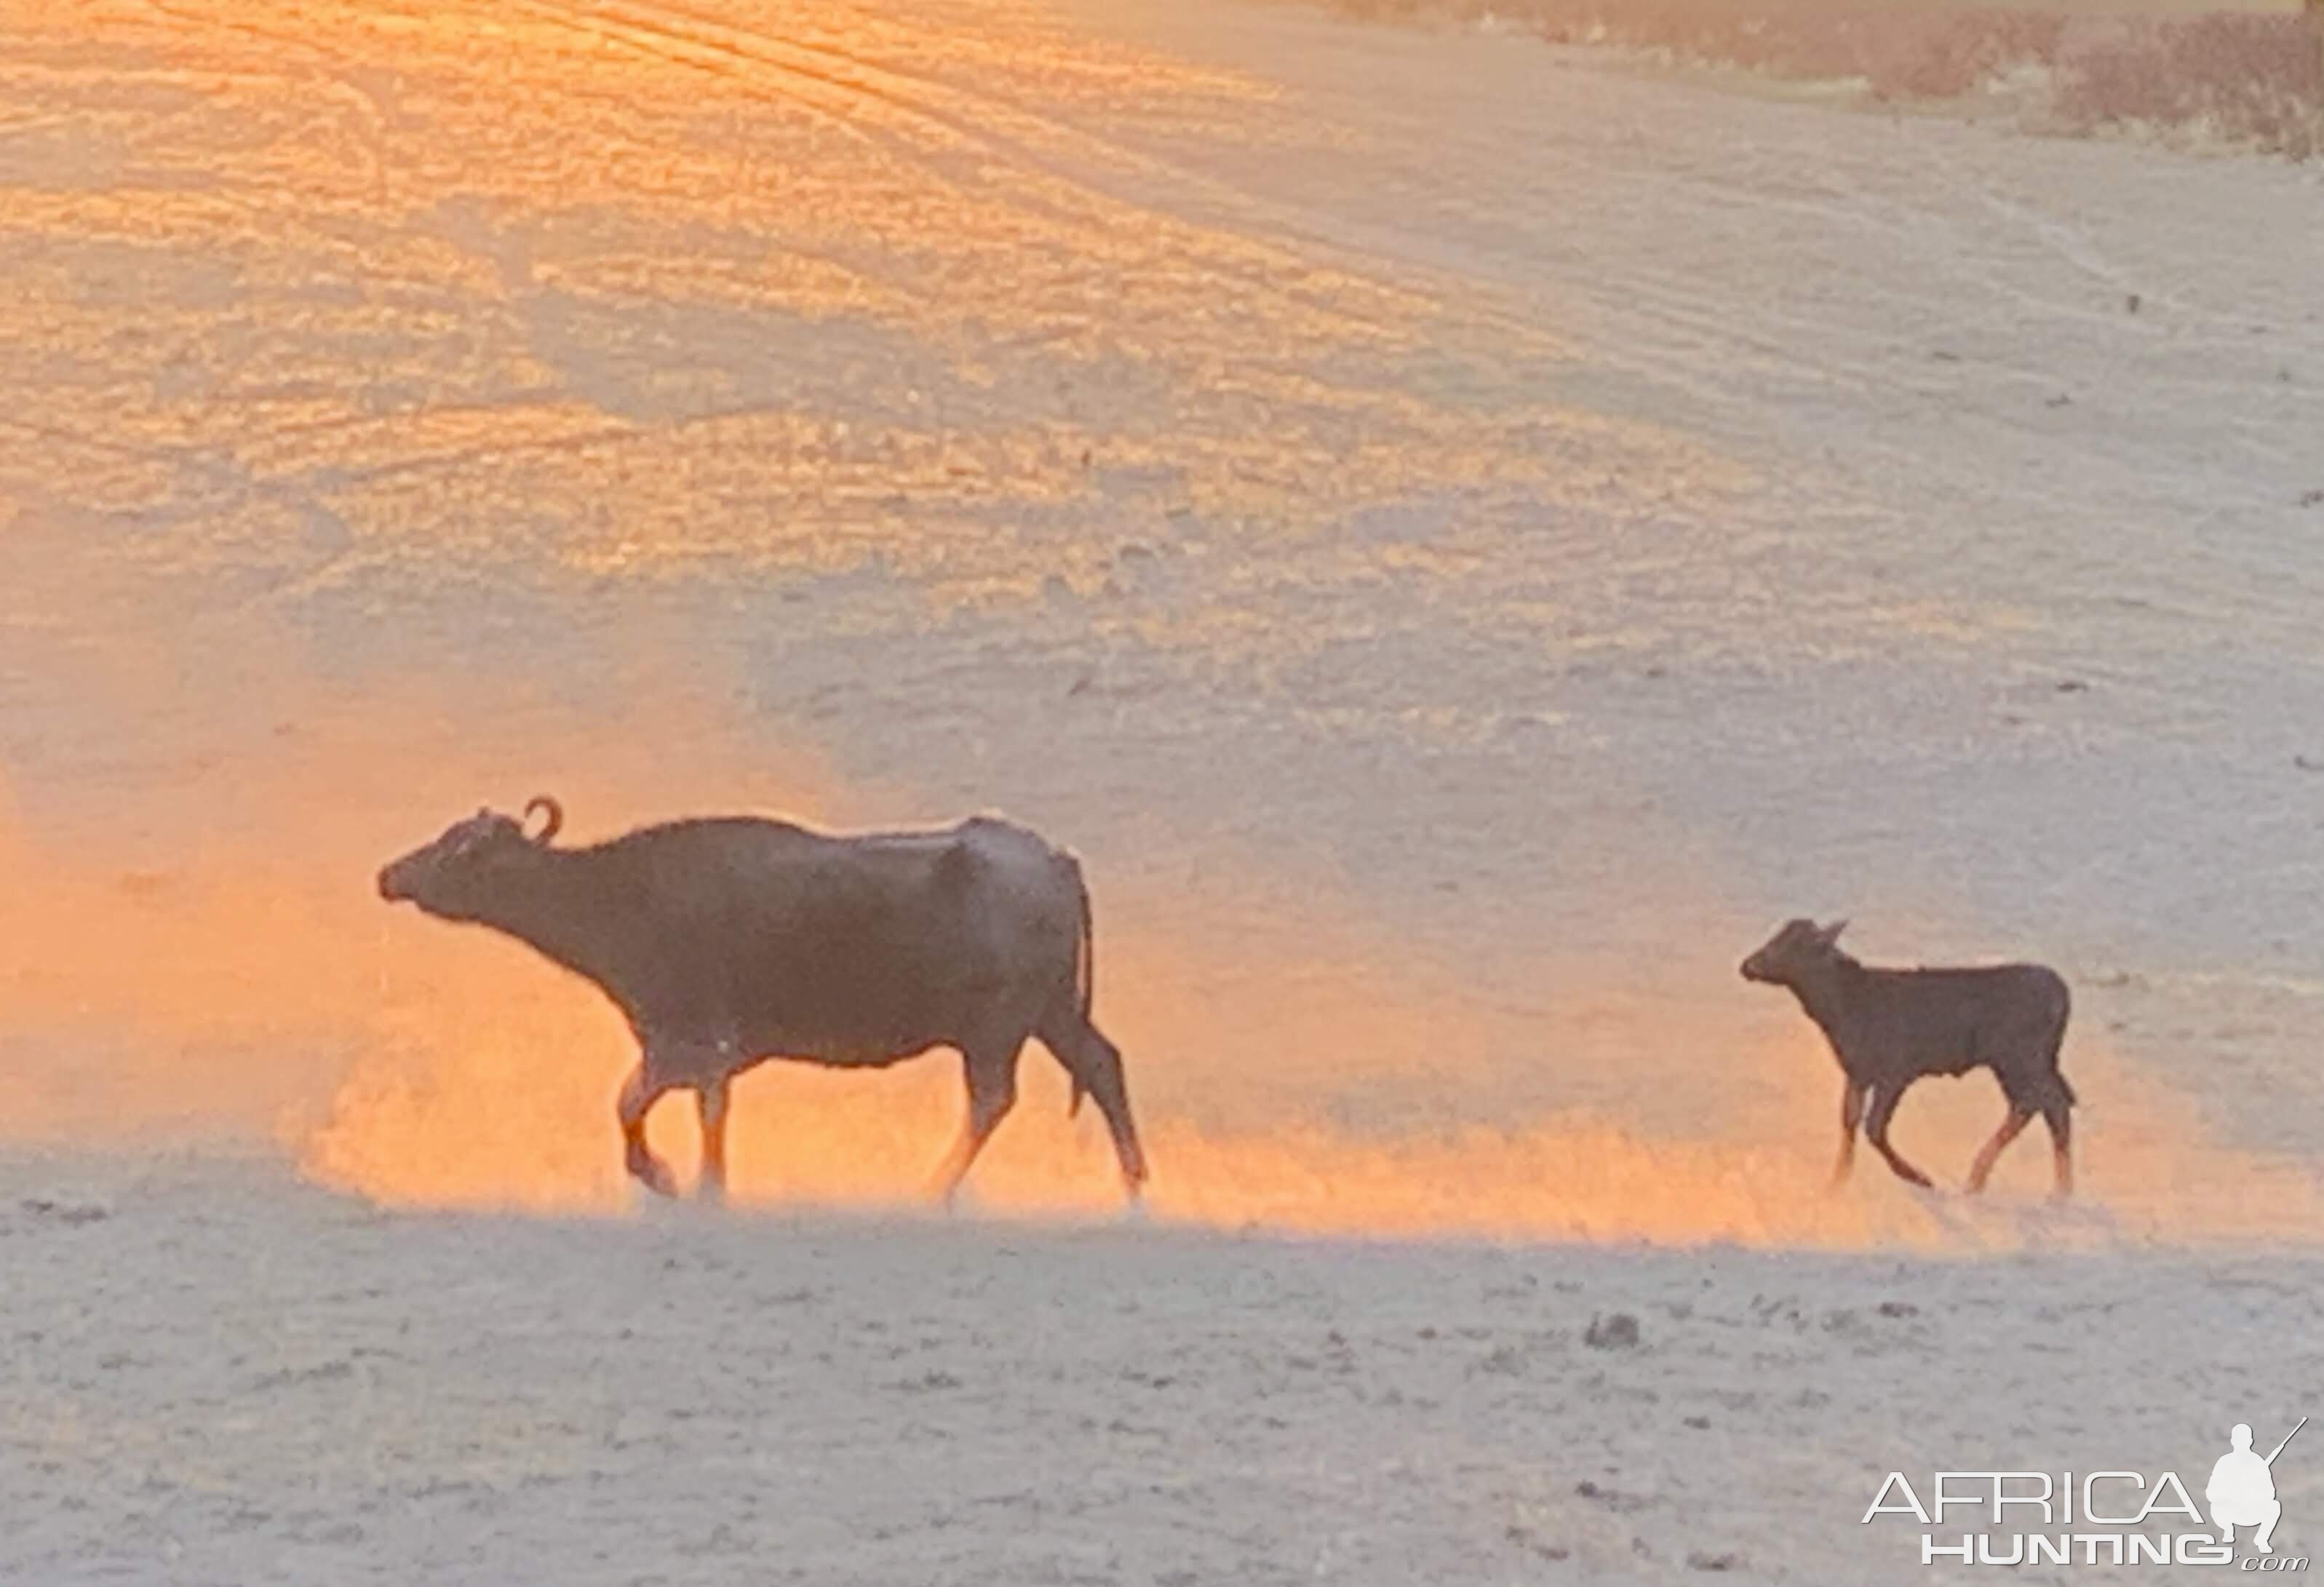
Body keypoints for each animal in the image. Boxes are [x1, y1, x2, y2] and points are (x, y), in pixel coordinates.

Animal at [372, 799, 1153, 1208]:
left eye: (460, 848)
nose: (389, 874)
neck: (628, 896)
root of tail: (1053, 858)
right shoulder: (682, 1054)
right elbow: (661, 1109)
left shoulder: (691, 1046)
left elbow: (643, 1109)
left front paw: (683, 1182)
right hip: (1052, 1013)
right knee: (1104, 1066)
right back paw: (1136, 1185)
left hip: (996, 1029)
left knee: (993, 1099)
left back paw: (930, 1190)